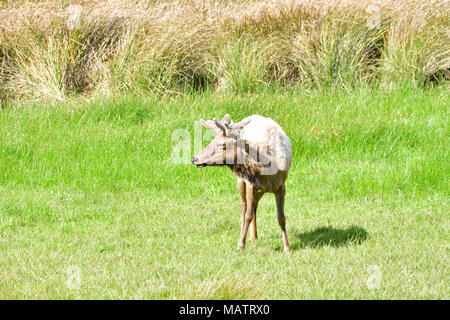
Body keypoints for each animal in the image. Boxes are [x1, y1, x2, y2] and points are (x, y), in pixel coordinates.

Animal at [192, 114, 292, 251]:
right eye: (211, 141)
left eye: (222, 145)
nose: (194, 158)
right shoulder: (250, 183)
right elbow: (248, 215)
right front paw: (241, 244)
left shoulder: (281, 185)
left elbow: (281, 218)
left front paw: (287, 247)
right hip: (242, 181)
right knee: (244, 206)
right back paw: (244, 234)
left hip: (260, 189)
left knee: (254, 205)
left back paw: (254, 236)